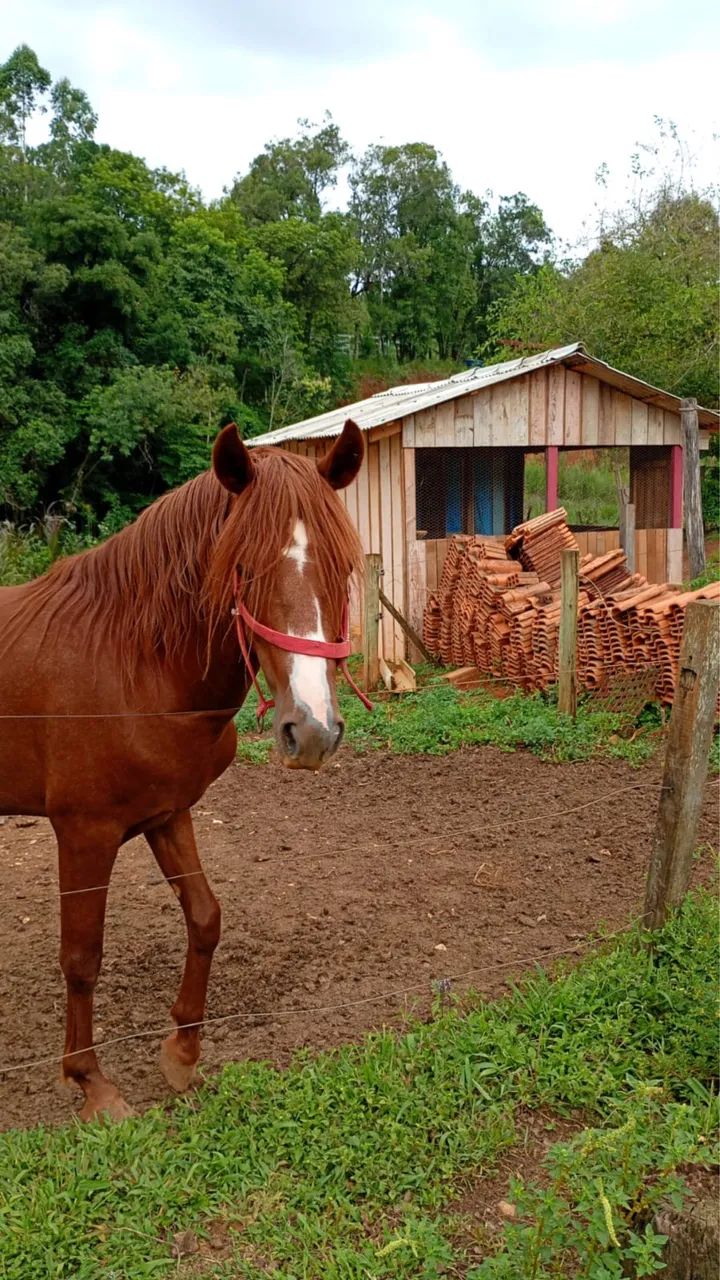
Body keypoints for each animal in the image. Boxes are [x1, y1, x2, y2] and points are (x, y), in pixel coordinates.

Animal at [0, 420, 365, 1121]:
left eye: (344, 567)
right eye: (242, 567)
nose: (310, 732)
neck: (129, 659)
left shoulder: (167, 814)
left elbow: (205, 917)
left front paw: (182, 1052)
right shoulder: (84, 833)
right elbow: (82, 956)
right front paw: (90, 1082)